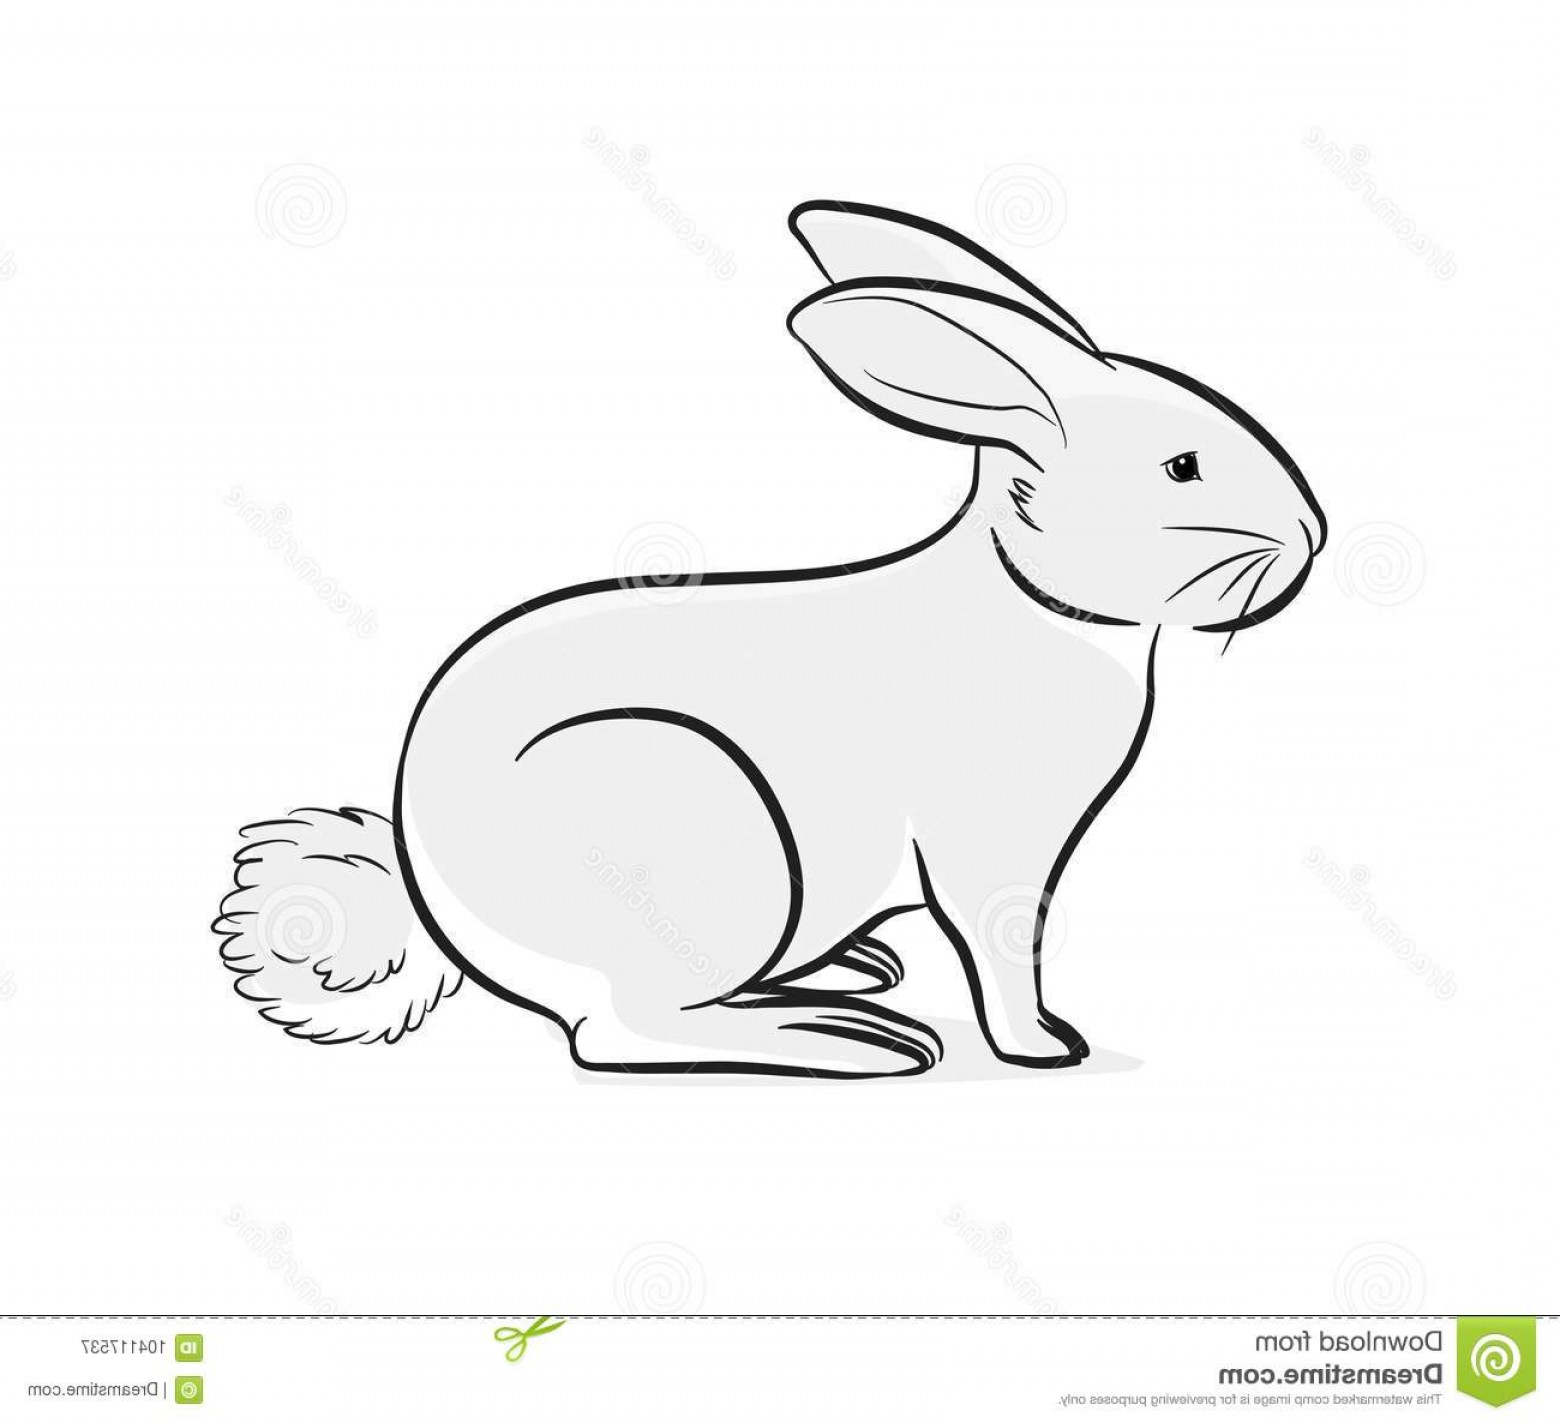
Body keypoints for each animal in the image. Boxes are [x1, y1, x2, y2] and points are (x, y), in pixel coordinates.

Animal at [213, 200, 1325, 1076]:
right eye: (1183, 466)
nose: (1312, 537)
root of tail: (435, 895)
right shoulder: (993, 846)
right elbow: (1004, 946)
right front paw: (1046, 1046)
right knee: (626, 1031)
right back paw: (851, 1042)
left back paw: (854, 976)